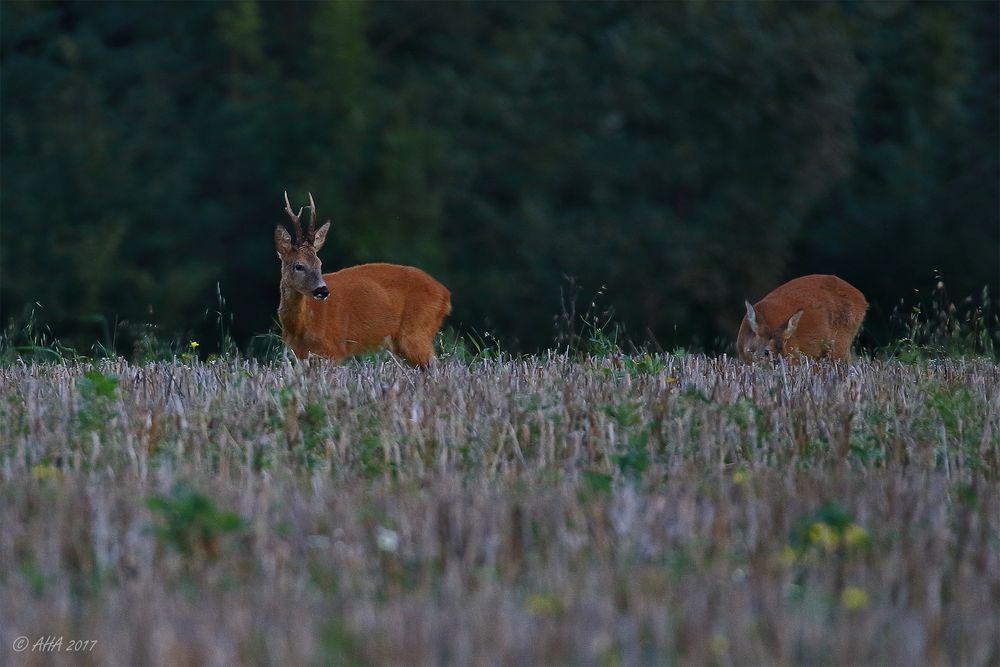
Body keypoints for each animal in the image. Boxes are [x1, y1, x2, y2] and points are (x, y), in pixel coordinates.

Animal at [276, 190, 452, 368]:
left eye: (319, 263)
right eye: (299, 266)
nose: (322, 290)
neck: (300, 326)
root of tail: (445, 295)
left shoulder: (332, 350)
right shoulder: (301, 355)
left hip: (416, 332)